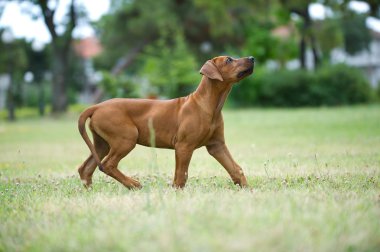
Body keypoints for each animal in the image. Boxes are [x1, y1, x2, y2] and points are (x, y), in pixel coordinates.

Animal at [77, 55, 255, 189]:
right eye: (229, 60)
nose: (252, 58)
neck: (209, 105)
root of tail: (96, 106)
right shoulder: (184, 146)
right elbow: (181, 174)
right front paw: (177, 192)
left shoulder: (217, 145)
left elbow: (235, 169)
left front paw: (247, 189)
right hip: (126, 139)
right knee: (107, 165)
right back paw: (134, 184)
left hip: (103, 144)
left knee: (86, 168)